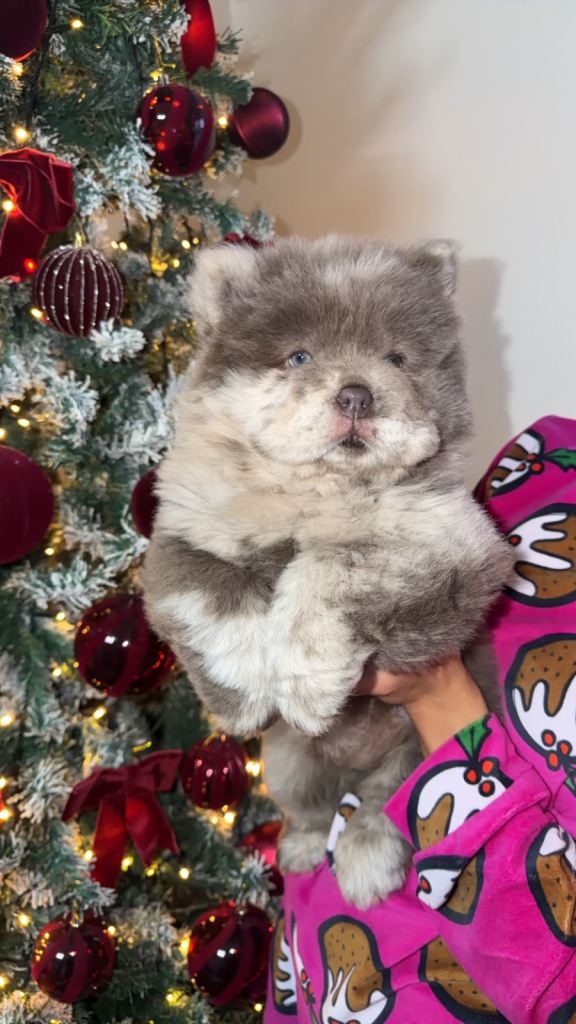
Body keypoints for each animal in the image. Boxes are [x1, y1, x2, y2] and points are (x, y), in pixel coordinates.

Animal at [143, 235, 512, 908]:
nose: (357, 393)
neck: (318, 495)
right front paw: (244, 696)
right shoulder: (183, 535)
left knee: (384, 804)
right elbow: (210, 593)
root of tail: (353, 764)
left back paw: (364, 865)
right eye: (298, 356)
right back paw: (302, 849)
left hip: (419, 750)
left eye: (397, 358)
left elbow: (331, 567)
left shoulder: (450, 544)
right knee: (313, 809)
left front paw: (307, 684)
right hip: (289, 762)